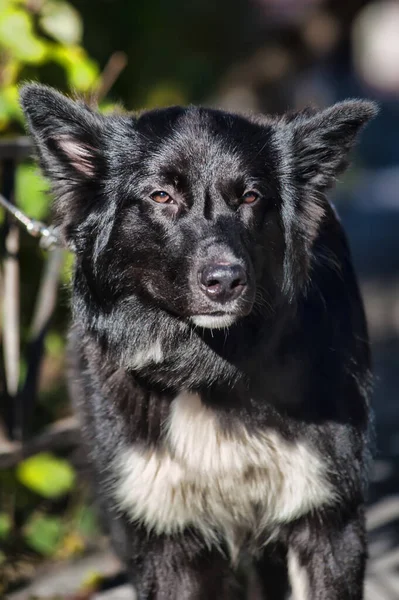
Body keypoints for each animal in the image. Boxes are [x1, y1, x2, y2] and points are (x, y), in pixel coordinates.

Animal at [20, 85, 378, 600]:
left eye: (250, 196)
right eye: (161, 196)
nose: (226, 281)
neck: (205, 367)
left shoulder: (328, 516)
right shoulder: (165, 532)